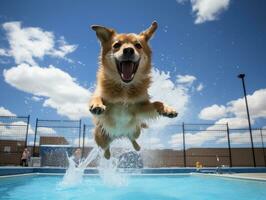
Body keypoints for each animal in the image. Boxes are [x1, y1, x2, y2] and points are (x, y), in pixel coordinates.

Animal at [90, 21, 179, 159]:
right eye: (116, 45)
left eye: (138, 45)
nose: (128, 50)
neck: (124, 88)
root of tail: (119, 135)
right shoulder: (106, 102)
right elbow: (97, 97)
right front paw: (97, 105)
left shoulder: (139, 108)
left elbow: (157, 102)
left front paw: (167, 109)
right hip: (100, 137)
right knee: (105, 147)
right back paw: (108, 155)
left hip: (135, 130)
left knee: (132, 138)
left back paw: (137, 147)